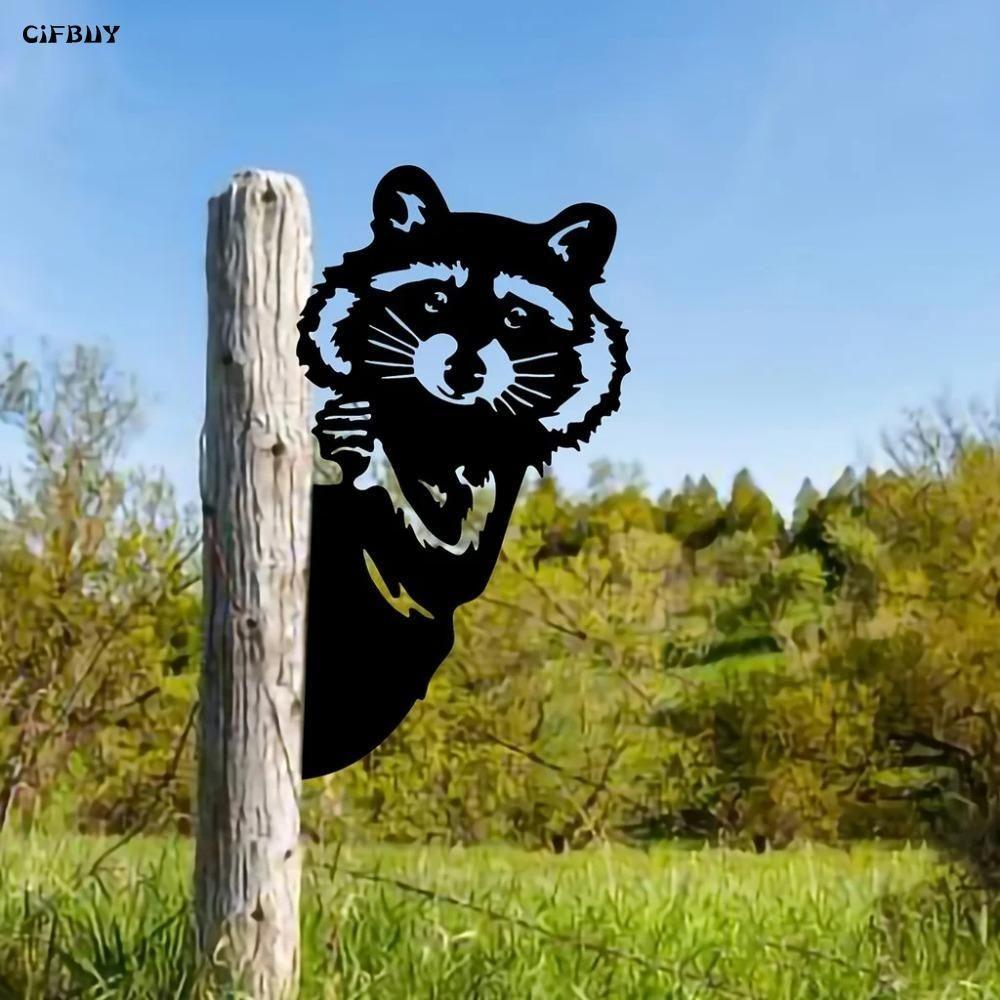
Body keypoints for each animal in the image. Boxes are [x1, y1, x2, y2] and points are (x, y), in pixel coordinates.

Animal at [297, 166, 628, 778]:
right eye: (434, 300)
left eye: (517, 317)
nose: (463, 372)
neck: (439, 419)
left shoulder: (499, 474)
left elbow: (453, 560)